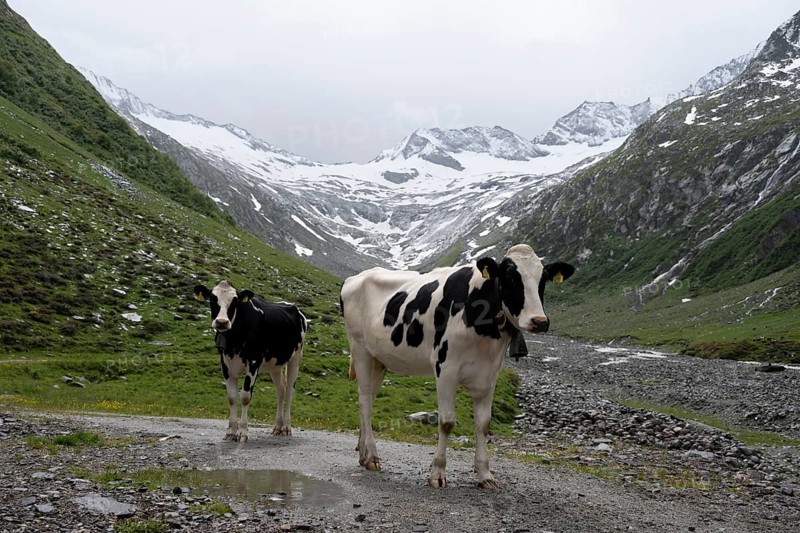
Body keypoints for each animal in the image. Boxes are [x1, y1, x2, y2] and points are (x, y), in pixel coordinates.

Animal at [194, 280, 308, 442]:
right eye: (212, 299)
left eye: (235, 301)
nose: (222, 322)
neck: (234, 340)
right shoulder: (225, 362)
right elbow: (232, 397)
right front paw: (231, 431)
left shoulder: (254, 361)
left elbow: (245, 397)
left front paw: (242, 432)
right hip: (275, 364)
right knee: (281, 390)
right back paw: (277, 427)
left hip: (296, 356)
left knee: (290, 391)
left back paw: (286, 427)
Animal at [340, 244, 574, 488]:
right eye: (510, 277)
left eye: (543, 278)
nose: (539, 321)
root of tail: (355, 278)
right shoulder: (445, 368)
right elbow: (446, 422)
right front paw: (437, 473)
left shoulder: (489, 373)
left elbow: (483, 423)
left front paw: (485, 475)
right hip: (360, 349)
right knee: (364, 401)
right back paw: (372, 456)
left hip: (379, 358)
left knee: (368, 400)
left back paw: (363, 454)